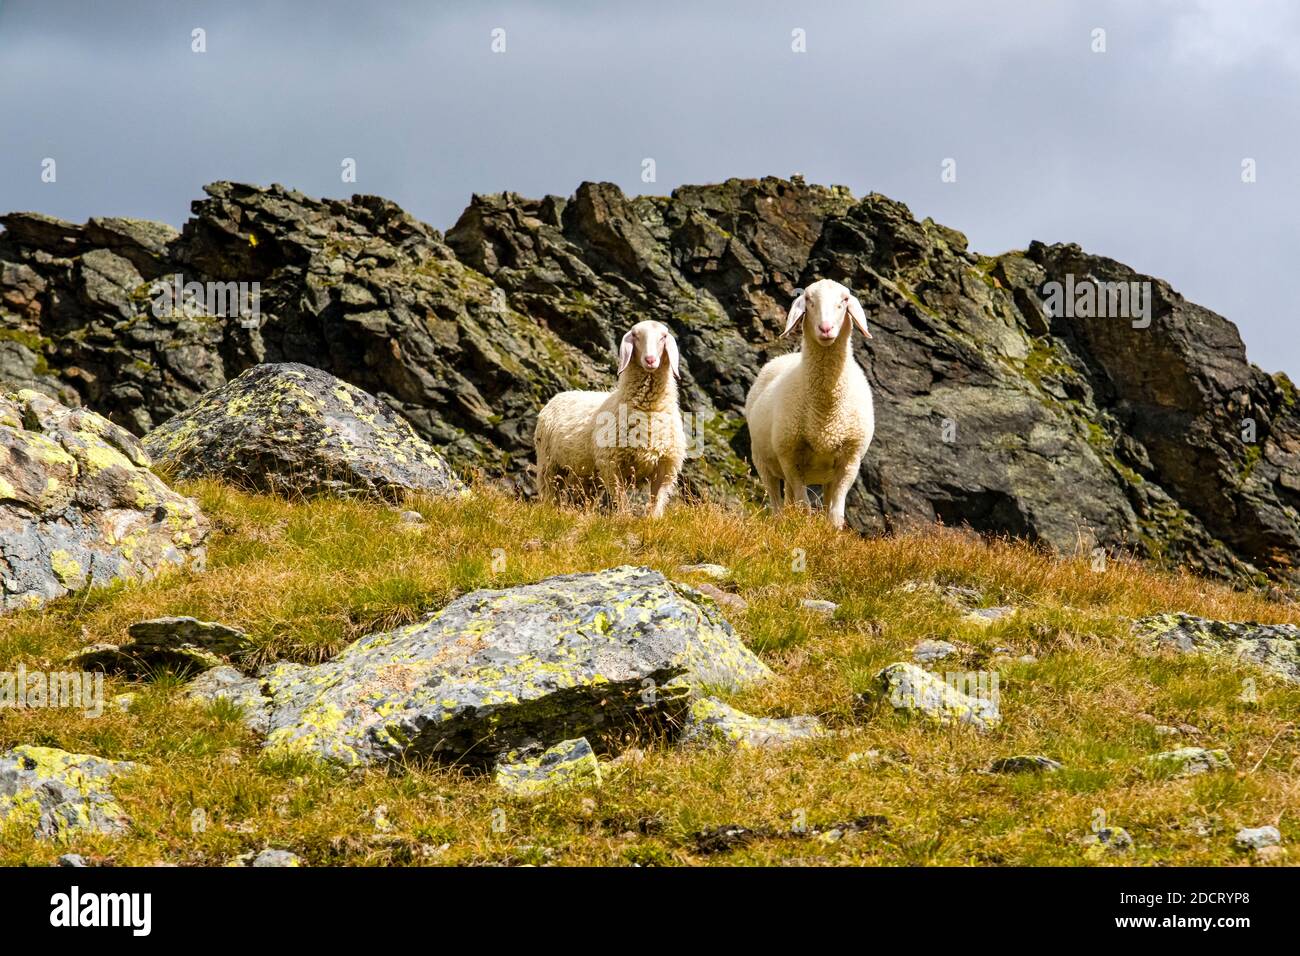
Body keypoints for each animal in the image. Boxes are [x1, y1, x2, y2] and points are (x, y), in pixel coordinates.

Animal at [533, 319, 686, 515]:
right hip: (549, 464)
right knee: (551, 494)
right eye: (635, 335)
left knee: (582, 499)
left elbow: (656, 503)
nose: (650, 360)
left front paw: (653, 519)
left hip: (585, 474)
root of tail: (558, 396)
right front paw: (624, 518)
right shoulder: (612, 465)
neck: (648, 410)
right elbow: (622, 501)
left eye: (664, 336)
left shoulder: (665, 467)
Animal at [743, 277, 873, 530]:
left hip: (823, 475)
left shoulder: (849, 461)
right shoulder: (790, 456)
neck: (826, 413)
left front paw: (831, 533)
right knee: (778, 503)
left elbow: (835, 514)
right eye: (809, 300)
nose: (826, 329)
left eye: (844, 300)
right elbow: (804, 508)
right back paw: (781, 523)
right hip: (764, 461)